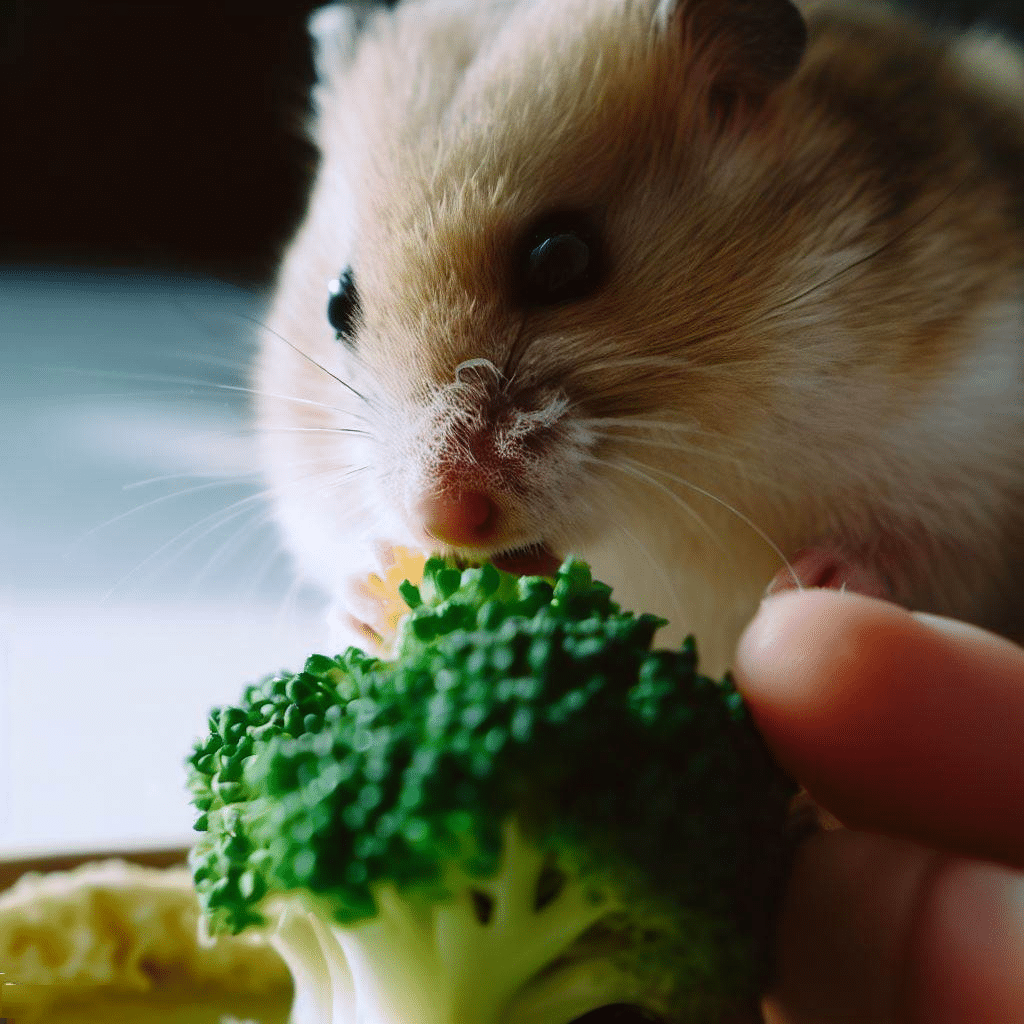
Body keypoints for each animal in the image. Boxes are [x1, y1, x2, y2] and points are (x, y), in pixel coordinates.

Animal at [260, 0, 1024, 671]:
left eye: (563, 258)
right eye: (337, 304)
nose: (442, 520)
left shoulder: (978, 450)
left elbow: (925, 549)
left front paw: (814, 580)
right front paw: (369, 589)